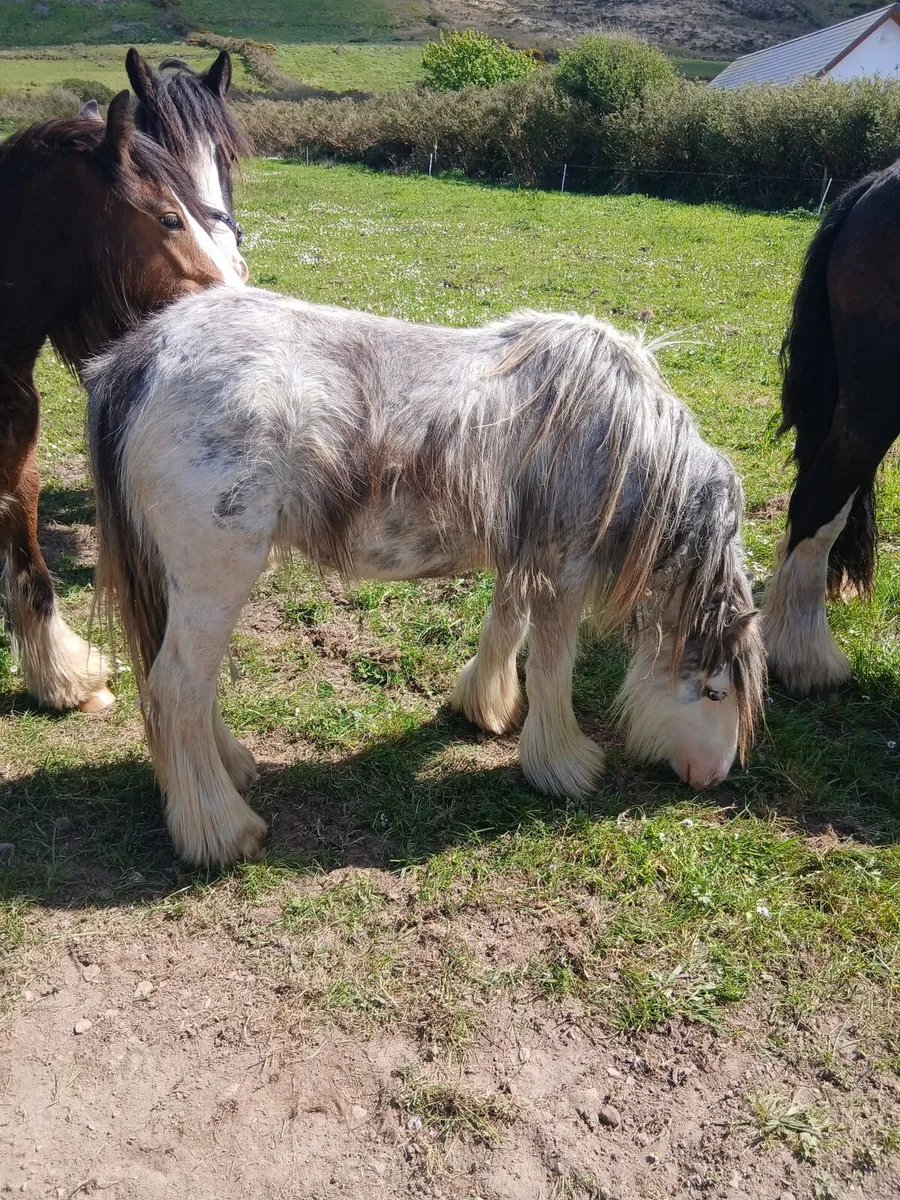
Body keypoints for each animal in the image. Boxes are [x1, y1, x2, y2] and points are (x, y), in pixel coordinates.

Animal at [85, 291, 766, 866]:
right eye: (716, 692)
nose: (713, 778)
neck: (616, 438)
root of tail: (139, 359)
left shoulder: (520, 555)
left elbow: (505, 627)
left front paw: (485, 707)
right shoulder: (563, 571)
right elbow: (553, 665)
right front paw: (565, 768)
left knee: (181, 688)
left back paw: (231, 769)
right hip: (217, 578)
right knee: (176, 691)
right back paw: (221, 830)